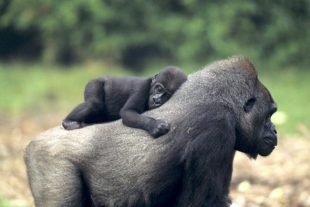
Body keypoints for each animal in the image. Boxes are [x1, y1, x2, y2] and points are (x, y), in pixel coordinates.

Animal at [23, 55, 276, 206]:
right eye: (270, 114)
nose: (274, 130)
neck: (220, 101)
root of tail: (31, 144)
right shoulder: (217, 131)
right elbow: (204, 201)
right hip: (50, 162)